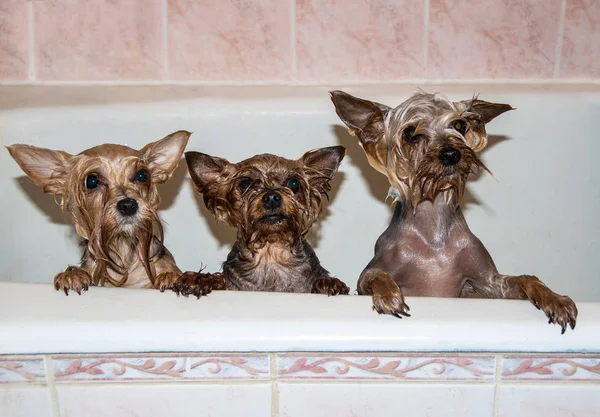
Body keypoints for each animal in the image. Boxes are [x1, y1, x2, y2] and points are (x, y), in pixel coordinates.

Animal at [8, 130, 192, 292]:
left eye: (142, 175)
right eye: (91, 181)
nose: (128, 205)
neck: (123, 249)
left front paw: (171, 276)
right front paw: (72, 275)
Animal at [171, 146, 350, 296]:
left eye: (294, 183)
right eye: (244, 184)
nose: (271, 197)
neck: (270, 255)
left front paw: (328, 283)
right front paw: (200, 279)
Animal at [330, 90, 580, 332]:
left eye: (459, 125)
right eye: (410, 132)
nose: (451, 154)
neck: (434, 236)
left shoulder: (490, 284)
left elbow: (527, 278)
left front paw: (555, 299)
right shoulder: (365, 278)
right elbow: (376, 275)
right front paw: (388, 295)